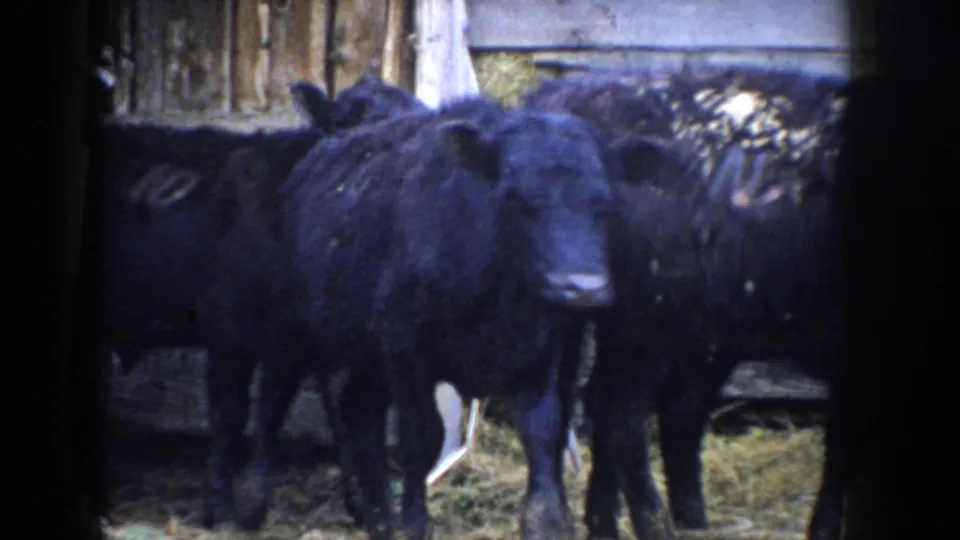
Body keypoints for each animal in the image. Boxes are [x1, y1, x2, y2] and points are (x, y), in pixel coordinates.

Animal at [220, 96, 641, 540]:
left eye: (605, 202)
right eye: (515, 197)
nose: (582, 287)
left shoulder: (539, 358)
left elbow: (543, 434)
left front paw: (545, 522)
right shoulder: (409, 356)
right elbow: (421, 437)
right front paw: (415, 522)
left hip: (367, 355)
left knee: (358, 409)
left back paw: (379, 518)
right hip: (291, 328)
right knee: (273, 396)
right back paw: (255, 499)